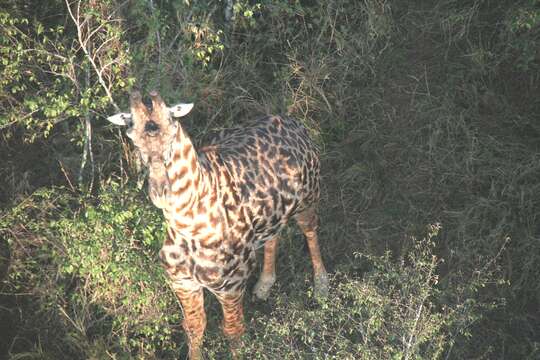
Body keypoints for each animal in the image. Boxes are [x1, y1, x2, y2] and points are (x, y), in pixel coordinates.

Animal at [106, 91, 330, 358]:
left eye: (172, 128)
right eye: (132, 136)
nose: (160, 191)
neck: (189, 226)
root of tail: (292, 121)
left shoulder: (231, 285)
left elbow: (233, 331)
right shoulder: (183, 283)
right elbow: (194, 328)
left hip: (308, 198)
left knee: (310, 230)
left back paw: (321, 287)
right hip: (273, 212)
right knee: (273, 234)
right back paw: (263, 286)